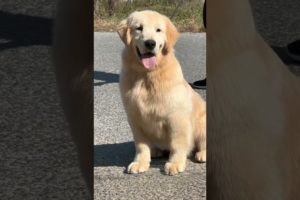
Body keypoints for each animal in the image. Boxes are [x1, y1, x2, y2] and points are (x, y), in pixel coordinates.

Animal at [116, 10, 206, 175]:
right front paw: (140, 162)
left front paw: (175, 163)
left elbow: (177, 144)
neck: (147, 76)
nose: (150, 43)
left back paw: (202, 153)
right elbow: (141, 145)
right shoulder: (135, 118)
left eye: (158, 30)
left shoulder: (176, 117)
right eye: (139, 28)